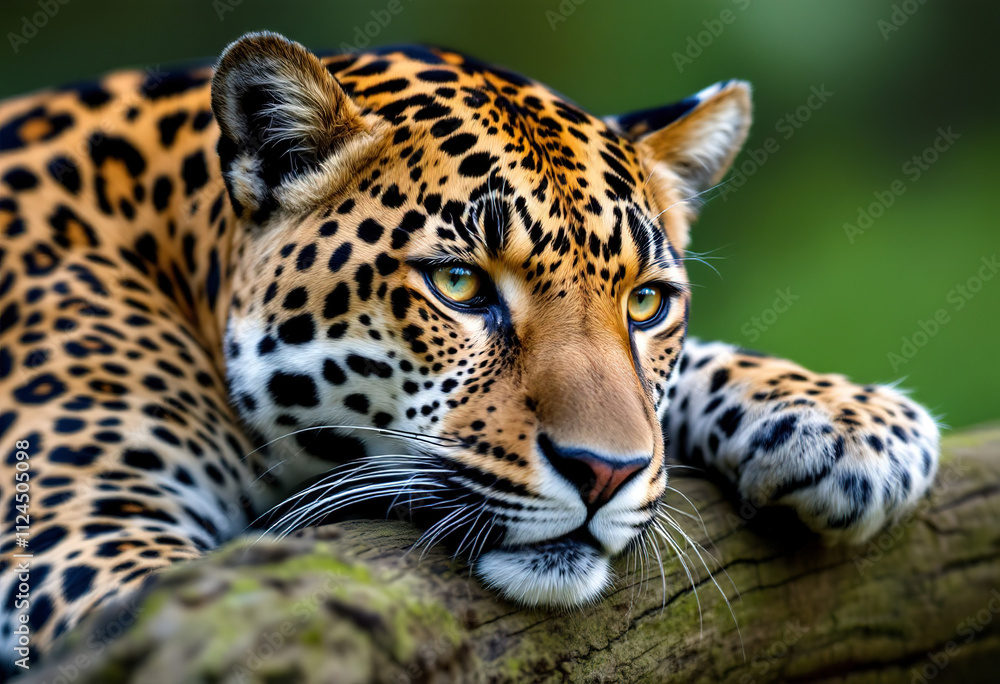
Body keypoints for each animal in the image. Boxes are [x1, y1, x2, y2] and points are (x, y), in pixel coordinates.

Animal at [0, 31, 941, 670]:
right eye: (458, 285)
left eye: (645, 303)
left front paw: (851, 421)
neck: (176, 258)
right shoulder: (80, 550)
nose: (605, 473)